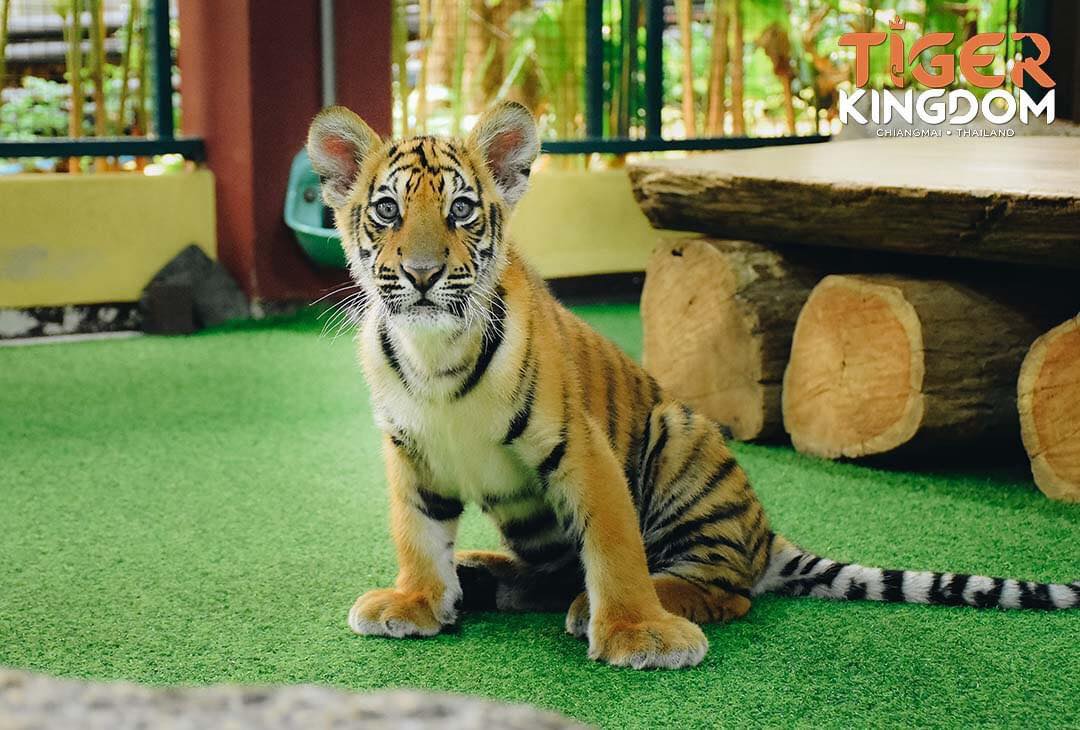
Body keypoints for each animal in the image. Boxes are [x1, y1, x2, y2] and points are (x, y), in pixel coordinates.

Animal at [306, 101, 1080, 670]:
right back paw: (481, 574)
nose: (423, 274)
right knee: (556, 571)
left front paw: (637, 633)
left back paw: (612, 605)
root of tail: (767, 535)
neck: (434, 351)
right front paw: (415, 600)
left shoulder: (581, 448)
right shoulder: (411, 455)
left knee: (723, 588)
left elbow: (614, 546)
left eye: (462, 210)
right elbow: (416, 533)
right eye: (387, 211)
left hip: (680, 437)